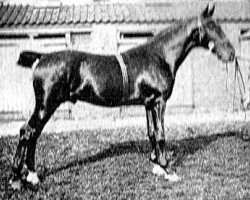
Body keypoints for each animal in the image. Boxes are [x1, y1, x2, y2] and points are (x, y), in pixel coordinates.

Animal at [9, 5, 235, 189]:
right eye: (212, 27)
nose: (231, 54)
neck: (159, 56)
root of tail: (41, 58)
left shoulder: (148, 103)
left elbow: (151, 133)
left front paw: (156, 165)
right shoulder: (159, 101)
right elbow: (161, 133)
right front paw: (168, 170)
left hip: (46, 106)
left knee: (33, 134)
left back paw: (32, 175)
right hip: (46, 105)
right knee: (27, 132)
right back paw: (16, 179)